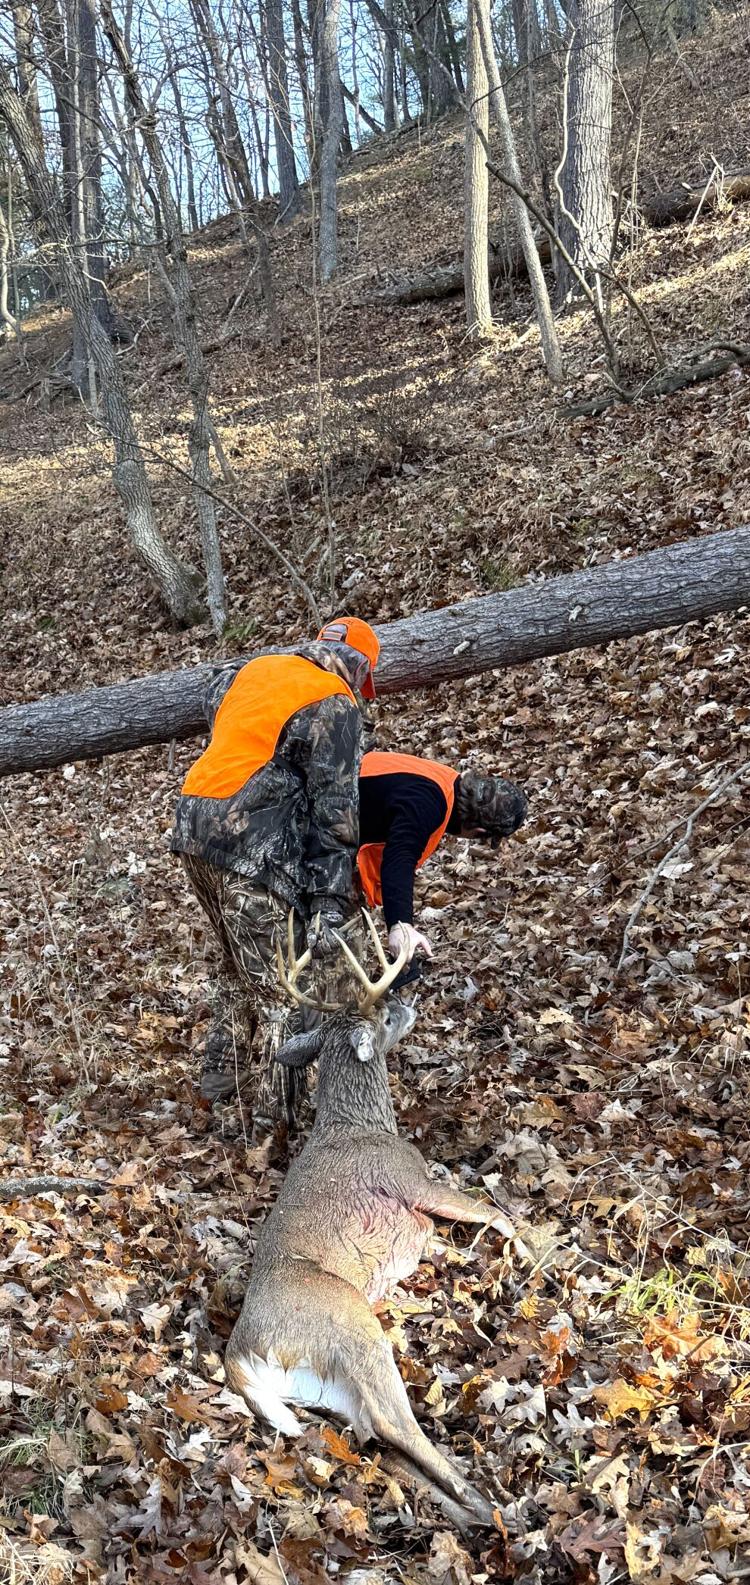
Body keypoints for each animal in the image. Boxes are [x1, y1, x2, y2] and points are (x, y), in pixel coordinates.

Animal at [225, 914, 527, 1527]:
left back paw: (470, 1514)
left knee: (377, 1442)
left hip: (328, 1390)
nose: (409, 1002)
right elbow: (498, 1216)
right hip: (353, 1324)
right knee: (396, 1425)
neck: (362, 1119)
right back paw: (491, 1507)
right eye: (385, 1014)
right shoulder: (415, 1183)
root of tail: (240, 1353)